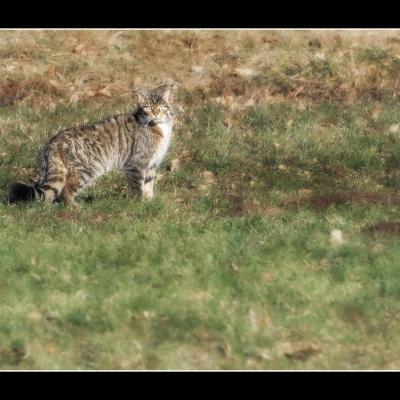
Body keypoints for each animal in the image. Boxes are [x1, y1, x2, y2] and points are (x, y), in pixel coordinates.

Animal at [9, 81, 175, 206]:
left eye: (161, 106)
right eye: (148, 107)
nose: (155, 113)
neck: (159, 127)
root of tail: (52, 142)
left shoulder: (152, 164)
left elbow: (148, 185)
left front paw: (149, 202)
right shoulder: (136, 164)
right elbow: (137, 188)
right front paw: (139, 204)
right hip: (87, 169)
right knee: (66, 189)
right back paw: (73, 207)